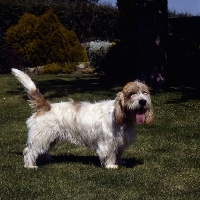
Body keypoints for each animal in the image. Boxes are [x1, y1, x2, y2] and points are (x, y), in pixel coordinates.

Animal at [11, 69, 154, 169]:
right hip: (41, 136)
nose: (142, 101)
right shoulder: (108, 142)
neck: (122, 117)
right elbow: (110, 153)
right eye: (132, 94)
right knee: (29, 151)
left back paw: (46, 158)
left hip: (49, 137)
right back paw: (30, 165)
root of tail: (46, 106)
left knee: (41, 149)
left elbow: (118, 153)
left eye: (145, 93)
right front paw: (111, 165)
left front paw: (120, 161)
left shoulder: (119, 141)